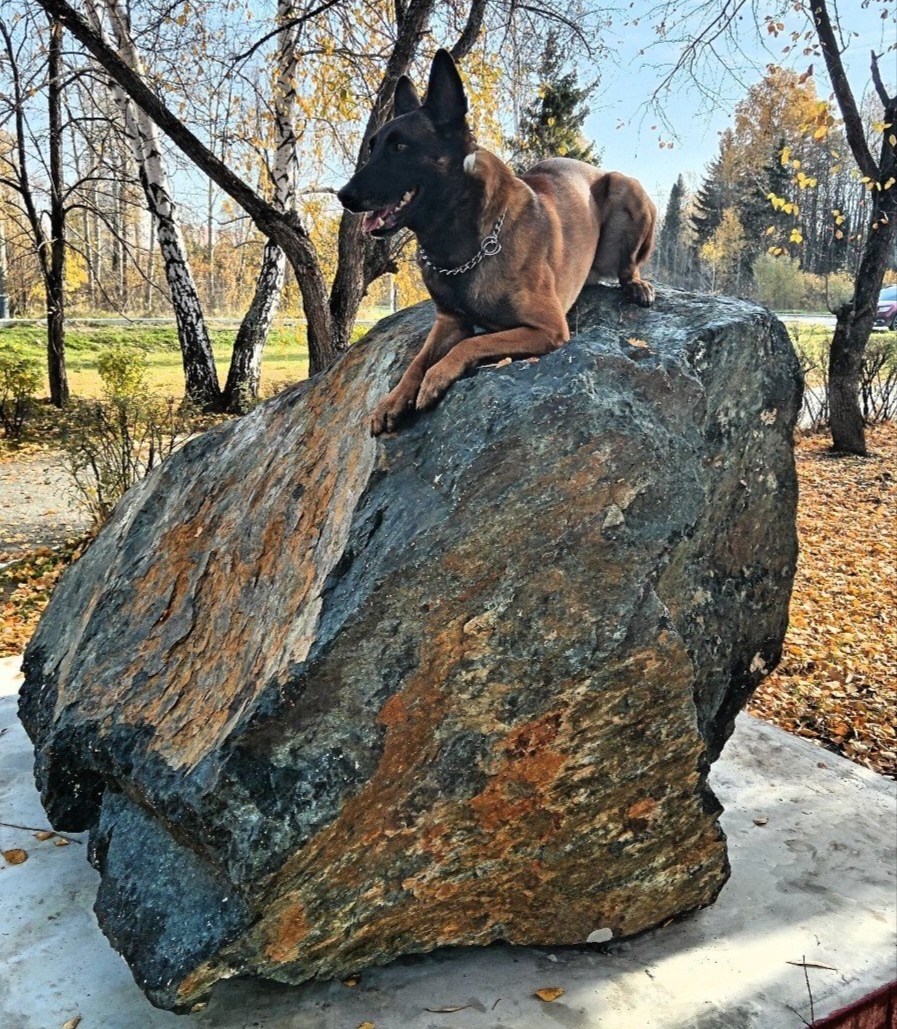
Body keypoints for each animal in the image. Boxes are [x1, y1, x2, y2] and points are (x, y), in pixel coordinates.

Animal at [339, 49, 654, 434]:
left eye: (400, 146)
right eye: (372, 148)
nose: (344, 196)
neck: (462, 245)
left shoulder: (548, 329)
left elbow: (475, 341)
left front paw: (437, 376)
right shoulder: (449, 322)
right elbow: (417, 361)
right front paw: (393, 399)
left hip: (628, 187)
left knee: (629, 265)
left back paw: (637, 285)